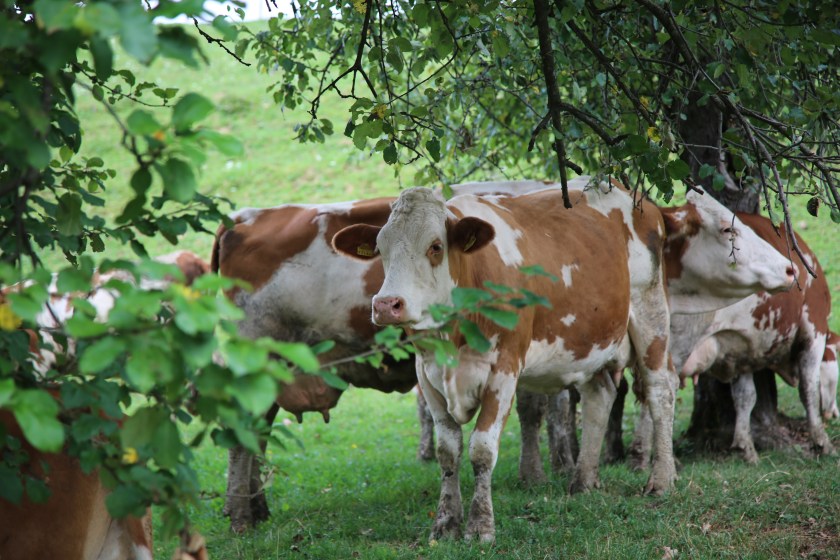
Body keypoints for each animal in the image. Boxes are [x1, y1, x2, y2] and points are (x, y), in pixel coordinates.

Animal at [331, 178, 794, 542]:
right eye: (379, 248)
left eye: (435, 246)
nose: (387, 305)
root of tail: (635, 197)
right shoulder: (427, 374)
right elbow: (448, 452)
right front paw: (445, 524)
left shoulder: (504, 367)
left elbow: (481, 449)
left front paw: (481, 527)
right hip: (595, 337)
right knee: (600, 394)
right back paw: (583, 480)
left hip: (650, 313)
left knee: (660, 388)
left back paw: (660, 480)